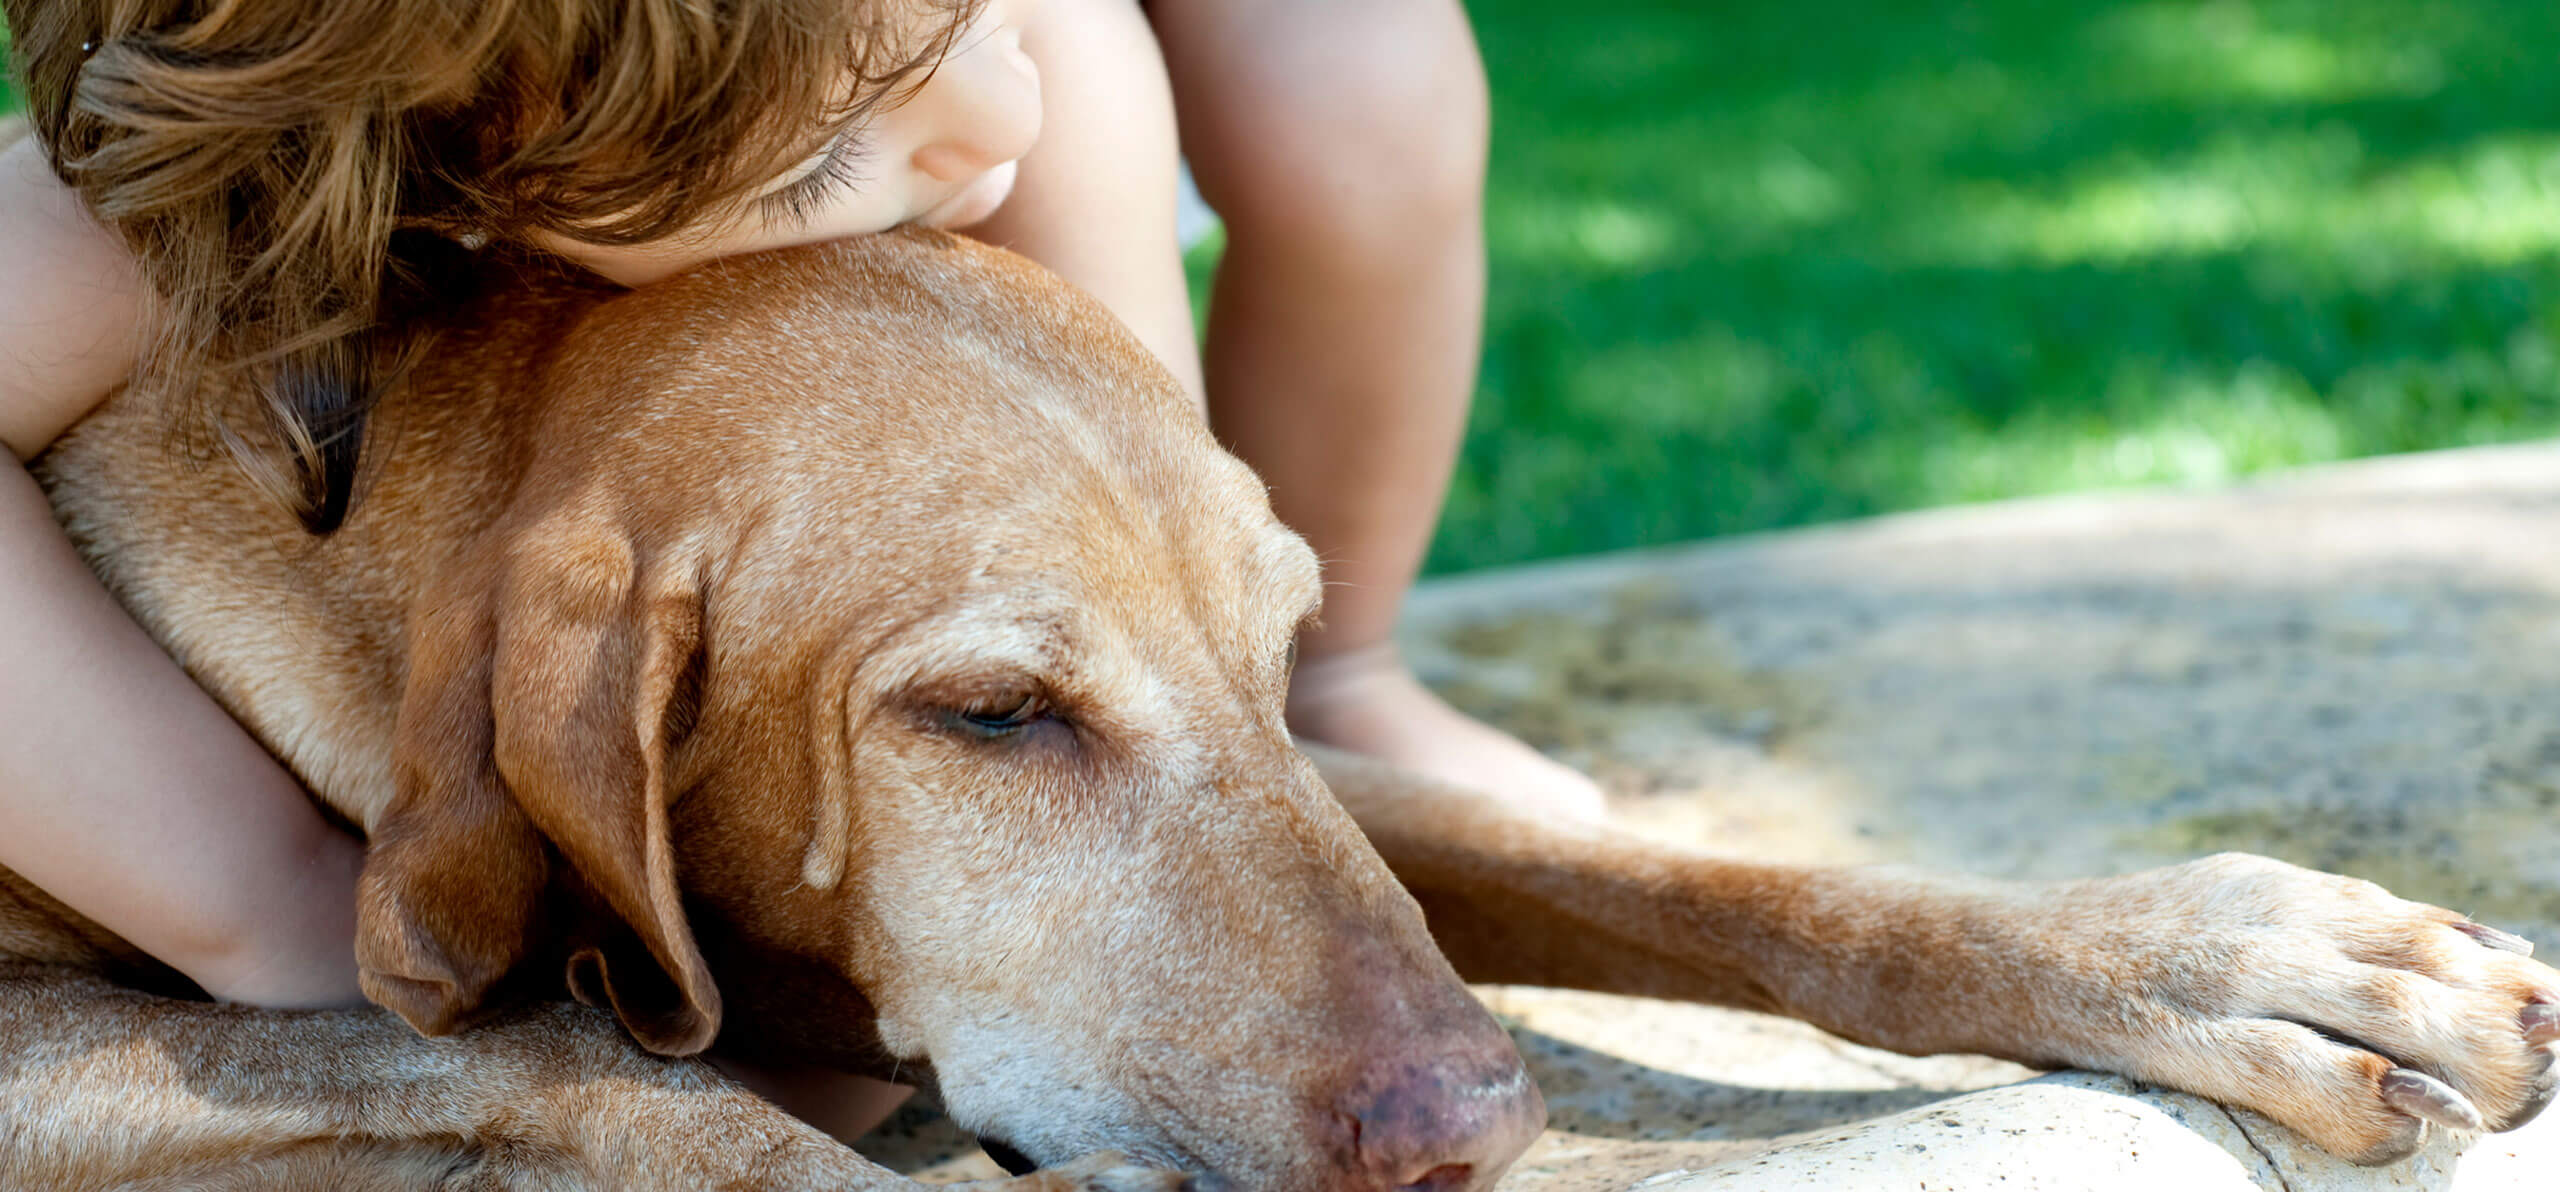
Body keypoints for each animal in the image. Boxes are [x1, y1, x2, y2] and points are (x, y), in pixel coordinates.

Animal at [0, 227, 2549, 1186]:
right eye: (991, 716)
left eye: (1270, 634)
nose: (1475, 1123)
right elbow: (577, 1059)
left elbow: (1706, 872)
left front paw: (2218, 947)